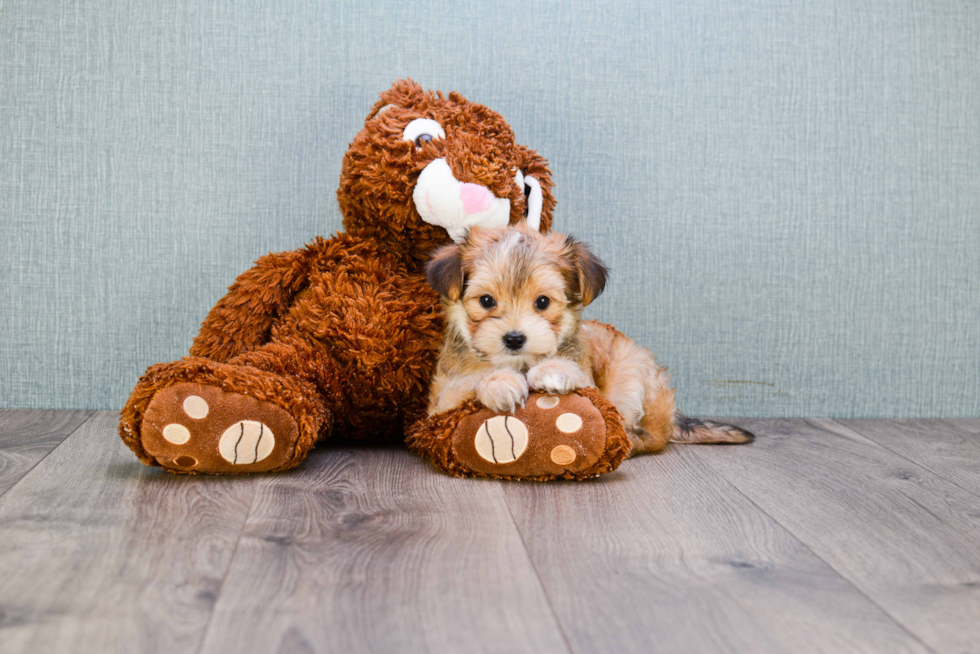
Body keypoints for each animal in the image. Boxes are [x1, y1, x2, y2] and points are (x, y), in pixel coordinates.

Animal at [424, 224, 756, 456]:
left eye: (543, 302)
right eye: (486, 301)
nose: (515, 338)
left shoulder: (590, 383)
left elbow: (574, 373)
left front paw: (552, 370)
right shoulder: (439, 403)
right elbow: (469, 381)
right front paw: (500, 382)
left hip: (629, 375)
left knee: (650, 435)